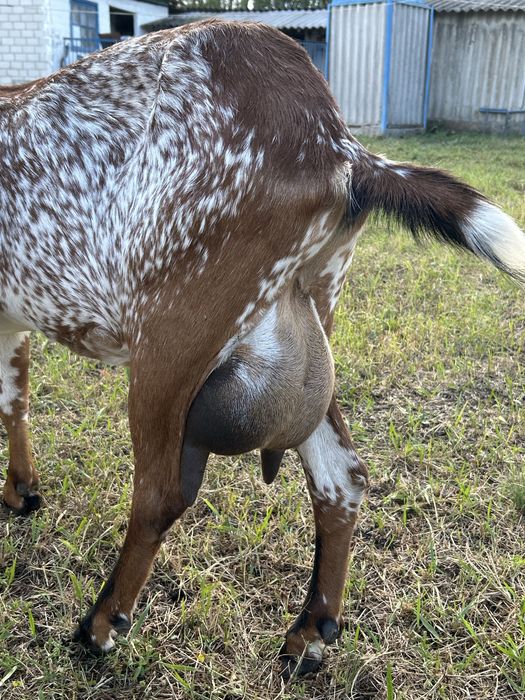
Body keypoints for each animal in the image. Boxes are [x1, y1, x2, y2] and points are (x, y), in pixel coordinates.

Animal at [1, 20, 524, 677]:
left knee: (159, 494)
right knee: (342, 475)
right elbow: (16, 395)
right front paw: (21, 490)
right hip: (308, 322)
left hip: (171, 344)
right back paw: (310, 633)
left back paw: (100, 625)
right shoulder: (11, 318)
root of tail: (341, 149)